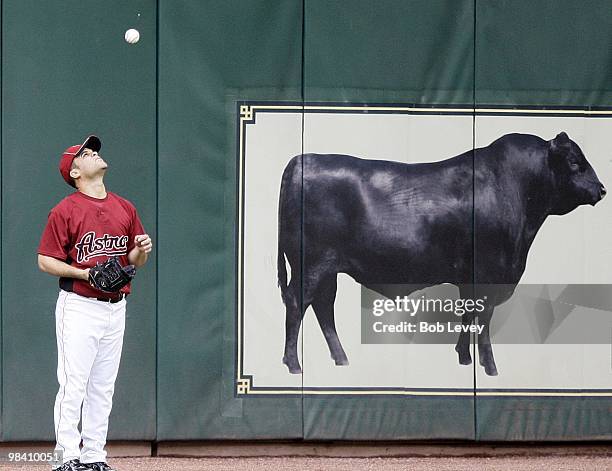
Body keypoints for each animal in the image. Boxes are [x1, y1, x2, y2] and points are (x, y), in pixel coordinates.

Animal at [278, 133, 608, 376]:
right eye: (575, 162)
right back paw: (293, 365)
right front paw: (490, 368)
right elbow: (483, 319)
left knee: (323, 306)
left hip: (327, 270)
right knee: (297, 303)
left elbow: (468, 314)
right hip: (310, 266)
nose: (602, 189)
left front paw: (464, 358)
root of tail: (301, 160)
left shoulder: (470, 278)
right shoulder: (489, 274)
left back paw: (341, 358)